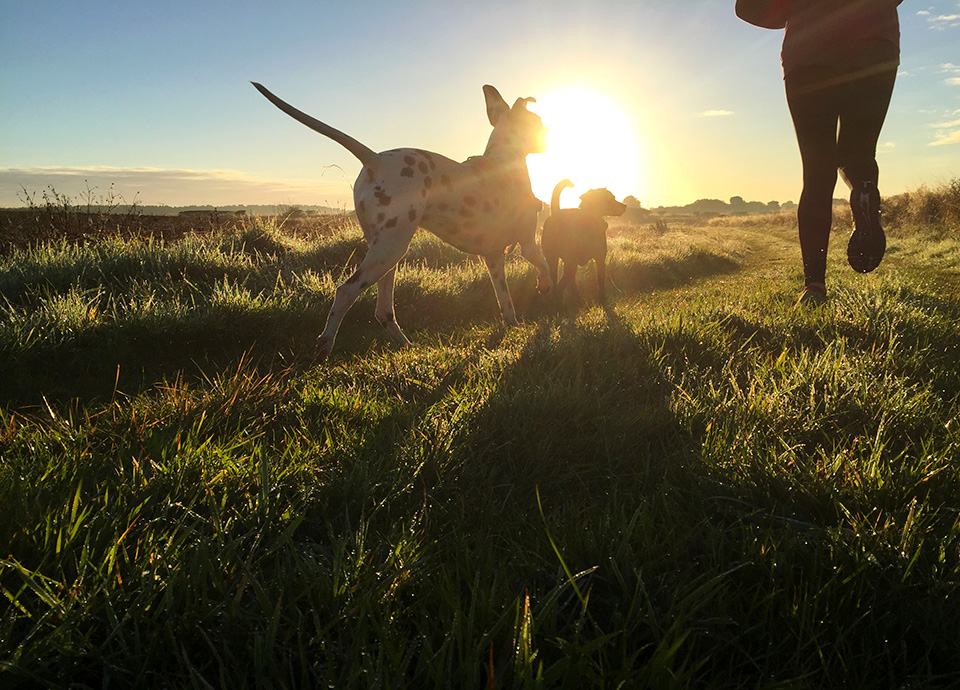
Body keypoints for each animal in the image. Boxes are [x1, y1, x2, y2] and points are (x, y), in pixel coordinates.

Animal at [251, 83, 552, 358]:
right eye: (538, 122)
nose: (549, 136)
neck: (505, 161)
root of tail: (376, 160)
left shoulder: (493, 257)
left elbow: (506, 302)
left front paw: (514, 325)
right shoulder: (527, 244)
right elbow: (546, 265)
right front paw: (545, 287)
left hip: (386, 252)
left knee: (383, 310)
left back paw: (406, 345)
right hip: (390, 249)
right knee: (345, 292)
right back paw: (326, 345)